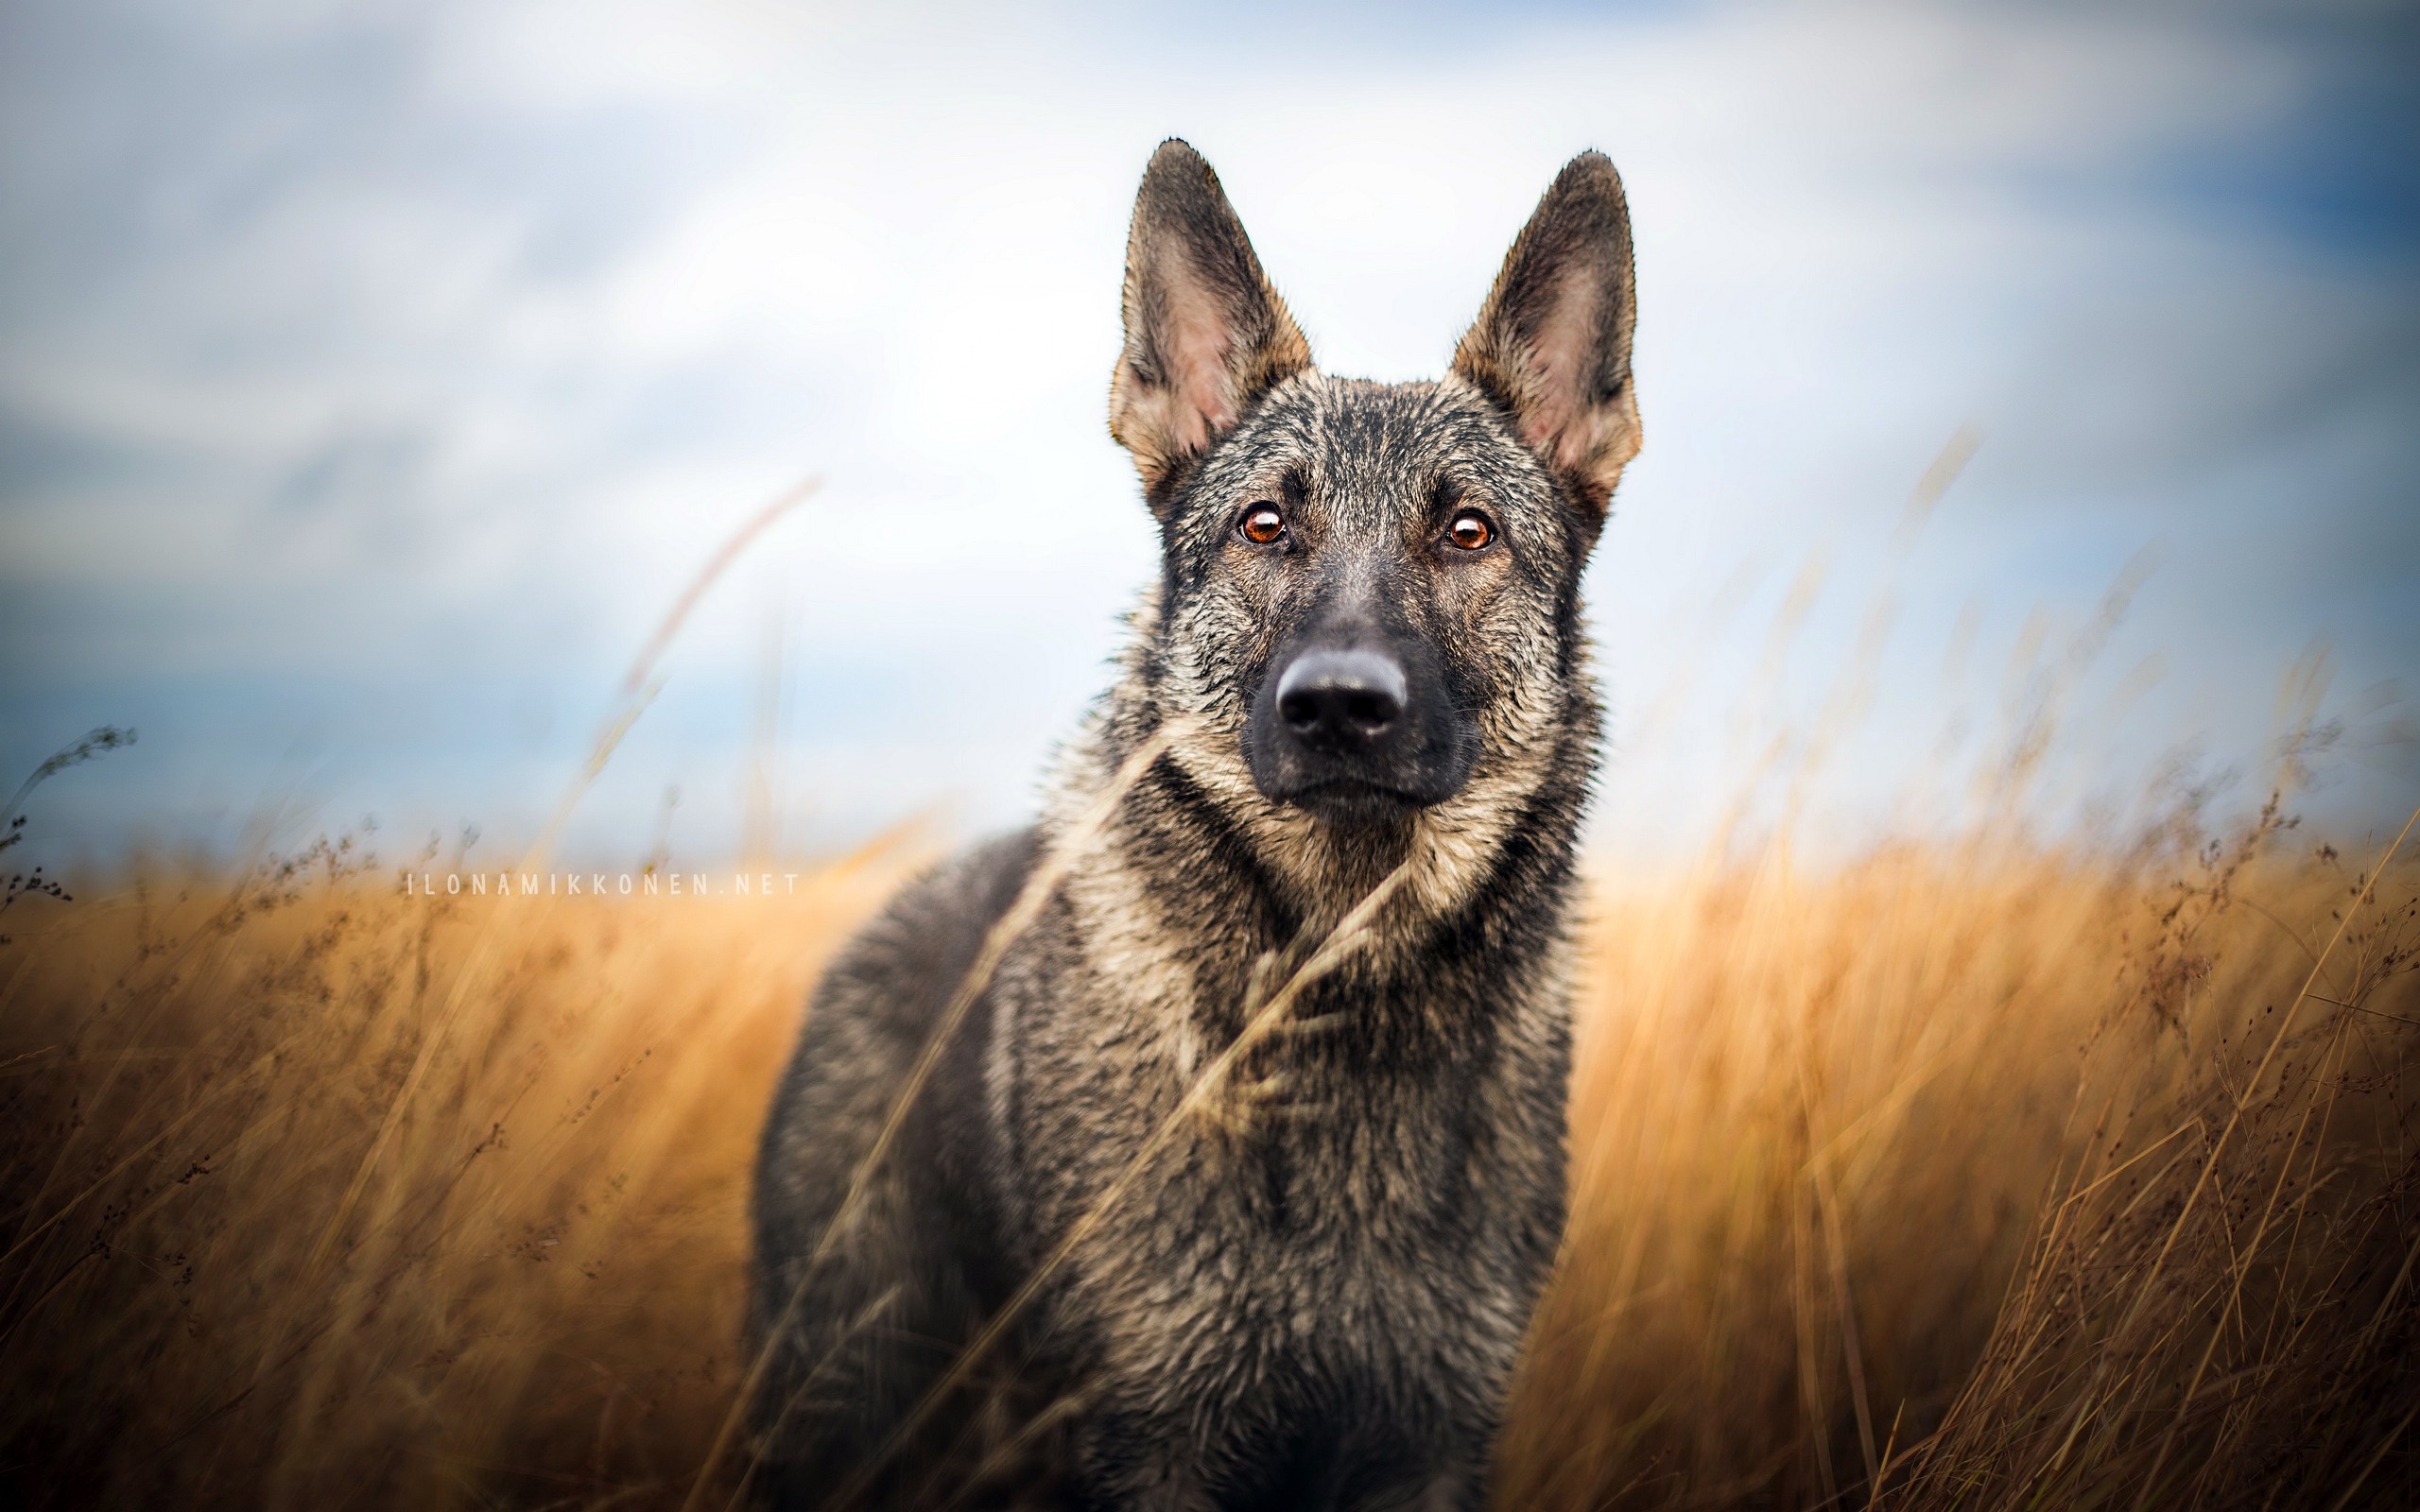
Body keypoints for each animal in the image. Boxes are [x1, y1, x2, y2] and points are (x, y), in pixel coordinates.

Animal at [745, 135, 1635, 1500]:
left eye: (1466, 531)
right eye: (1264, 524)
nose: (1338, 707)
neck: (1338, 989)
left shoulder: (1430, 1438)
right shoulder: (1153, 1432)